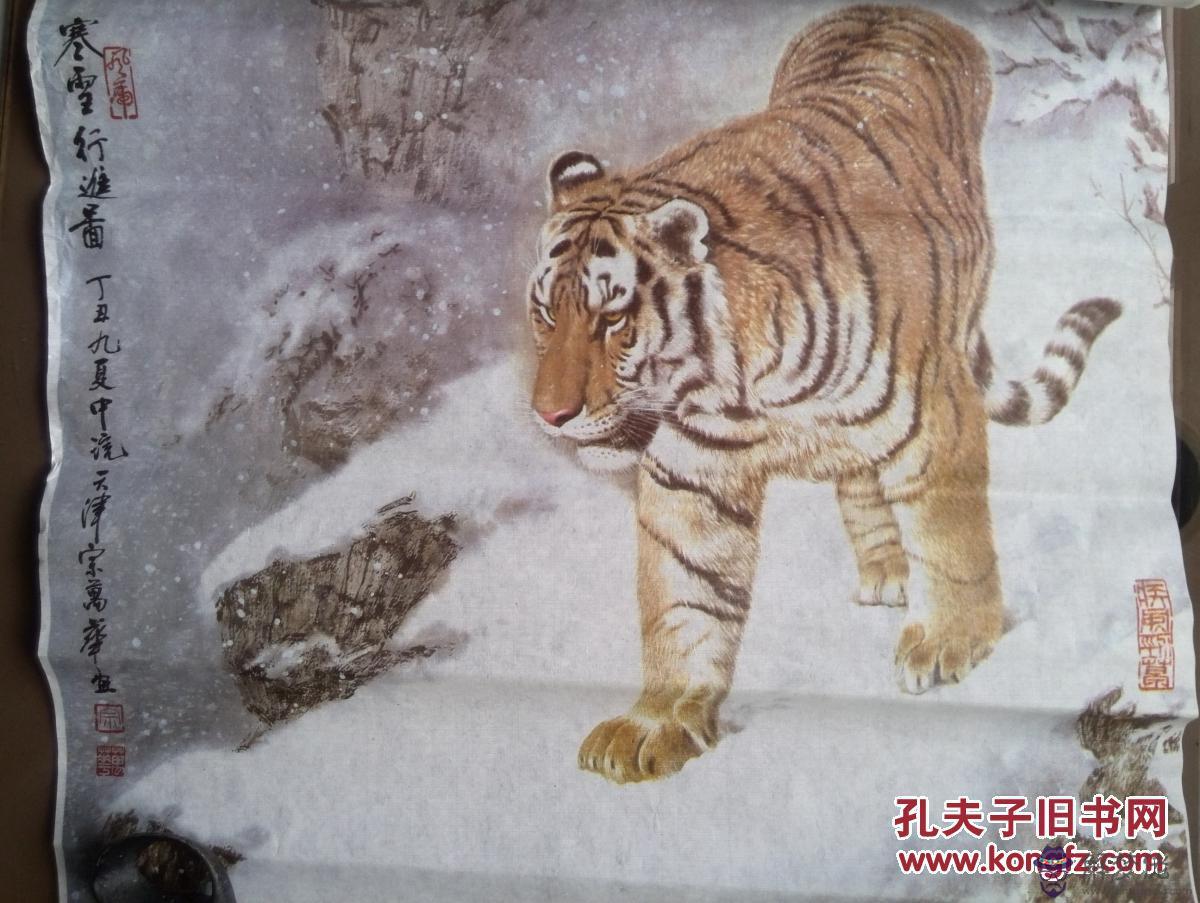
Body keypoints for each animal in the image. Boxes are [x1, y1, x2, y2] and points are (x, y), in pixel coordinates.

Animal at [524, 5, 1121, 784]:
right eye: (545, 314)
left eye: (613, 319)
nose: (550, 414)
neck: (740, 381)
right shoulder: (692, 470)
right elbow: (684, 593)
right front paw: (657, 722)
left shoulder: (934, 411)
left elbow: (951, 537)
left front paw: (950, 643)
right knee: (859, 482)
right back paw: (886, 569)